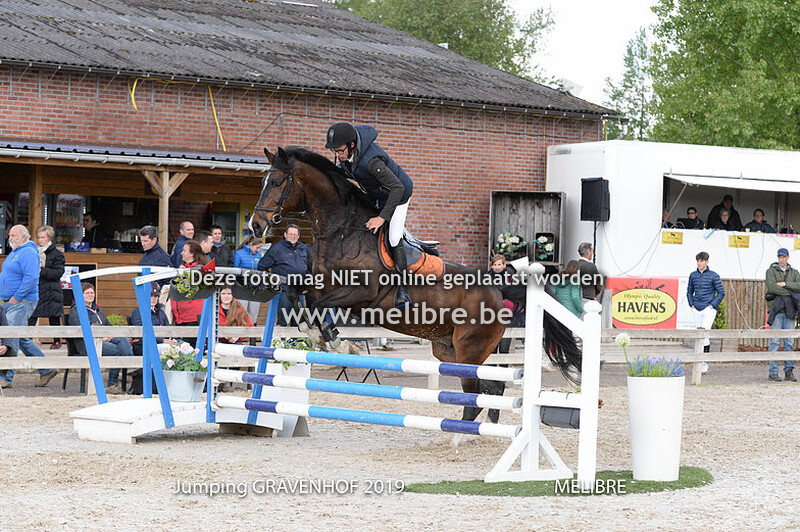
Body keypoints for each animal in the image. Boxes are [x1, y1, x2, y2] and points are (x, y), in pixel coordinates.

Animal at [249, 146, 581, 424]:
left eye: (276, 182)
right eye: (262, 181)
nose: (255, 226)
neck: (341, 231)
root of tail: (498, 290)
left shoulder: (359, 293)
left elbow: (318, 306)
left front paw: (330, 337)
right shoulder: (318, 283)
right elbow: (297, 293)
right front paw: (315, 332)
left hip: (469, 350)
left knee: (477, 392)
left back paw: (460, 439)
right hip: (447, 351)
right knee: (490, 387)